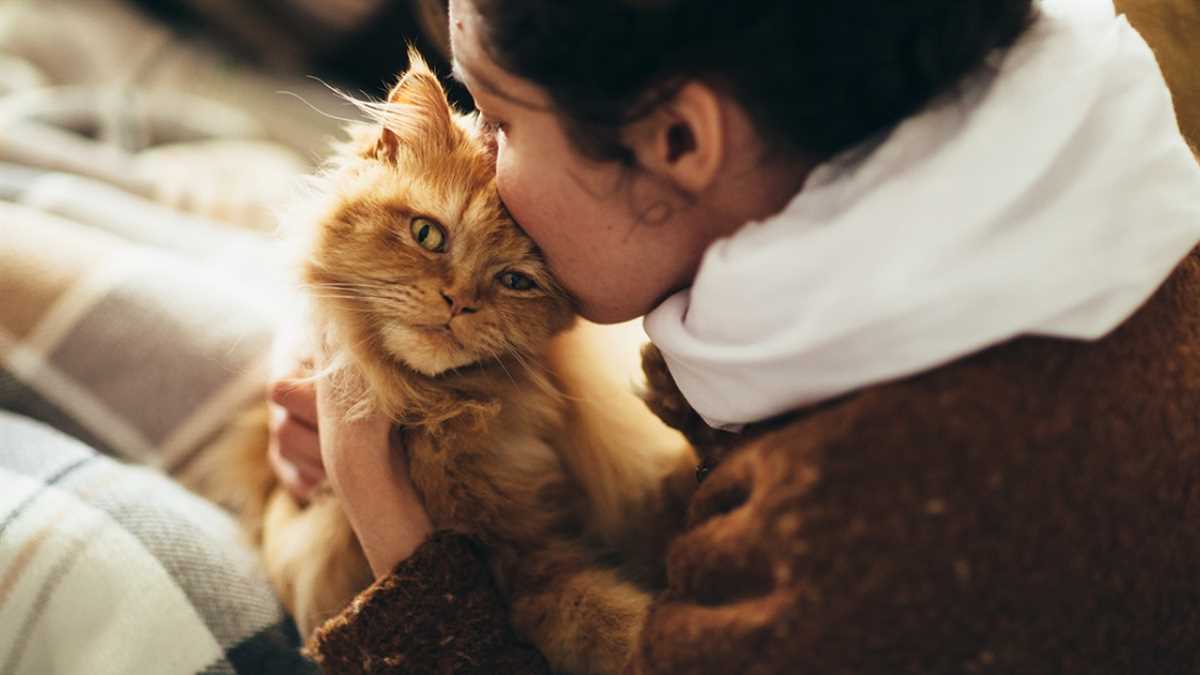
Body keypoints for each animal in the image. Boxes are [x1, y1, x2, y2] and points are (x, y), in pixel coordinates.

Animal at [199, 52, 696, 672]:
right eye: (427, 234)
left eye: (515, 281)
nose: (458, 301)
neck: (448, 418)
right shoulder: (520, 568)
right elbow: (606, 621)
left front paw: (679, 384)